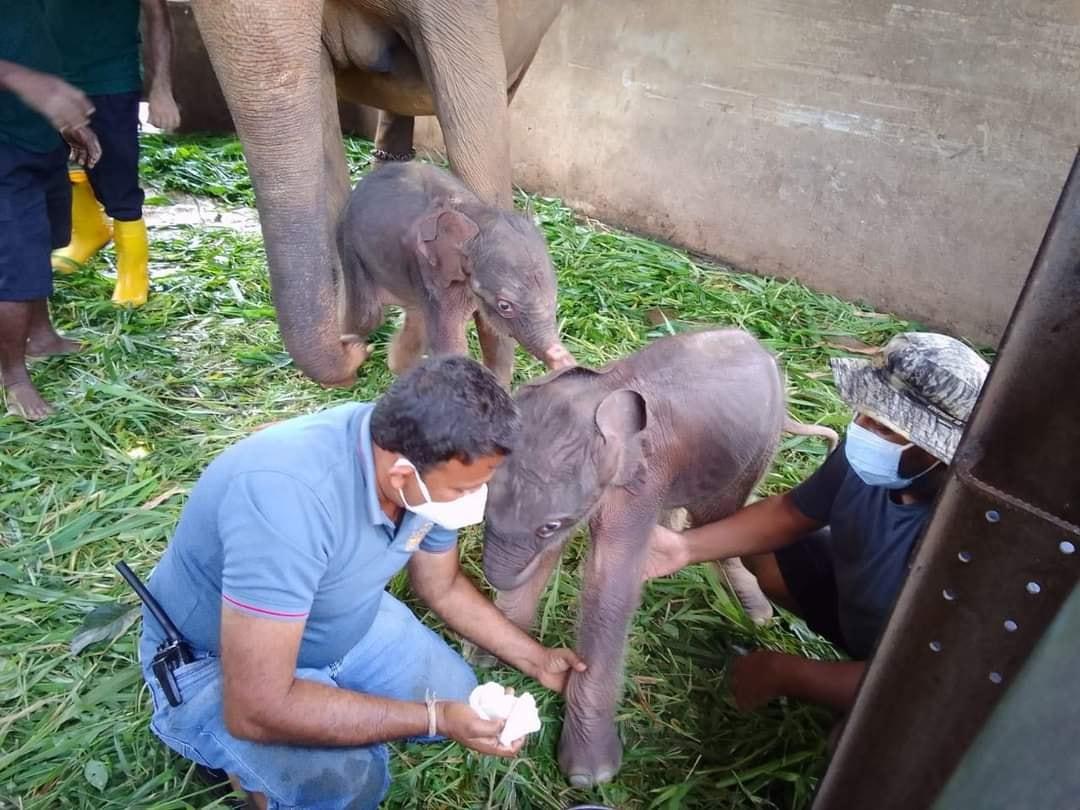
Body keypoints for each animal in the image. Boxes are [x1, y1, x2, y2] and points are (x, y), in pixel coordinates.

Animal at [339, 163, 574, 384]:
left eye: (556, 297)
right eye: (505, 306)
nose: (566, 361)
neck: (475, 216)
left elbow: (495, 335)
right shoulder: (432, 273)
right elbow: (452, 346)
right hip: (350, 249)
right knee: (367, 318)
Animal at [481, 328, 794, 786]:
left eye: (549, 526)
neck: (601, 392)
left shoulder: (640, 485)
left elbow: (609, 590)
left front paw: (590, 777)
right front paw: (485, 659)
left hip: (758, 444)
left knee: (721, 514)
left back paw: (756, 616)